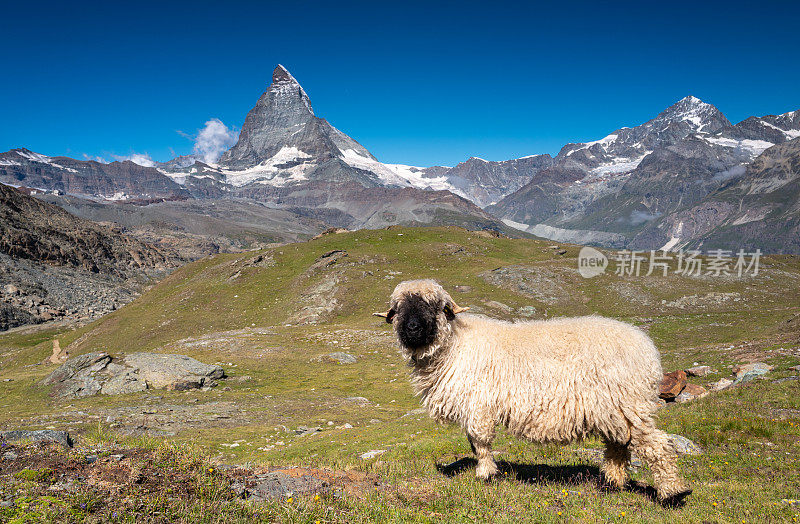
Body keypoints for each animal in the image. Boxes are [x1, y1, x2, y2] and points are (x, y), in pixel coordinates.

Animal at [372, 280, 692, 502]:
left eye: (433, 305)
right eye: (398, 309)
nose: (412, 328)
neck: (455, 345)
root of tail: (647, 348)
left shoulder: (479, 404)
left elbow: (480, 442)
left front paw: (485, 474)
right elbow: (474, 444)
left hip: (628, 402)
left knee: (657, 445)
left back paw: (674, 493)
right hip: (612, 408)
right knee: (618, 445)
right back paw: (613, 484)